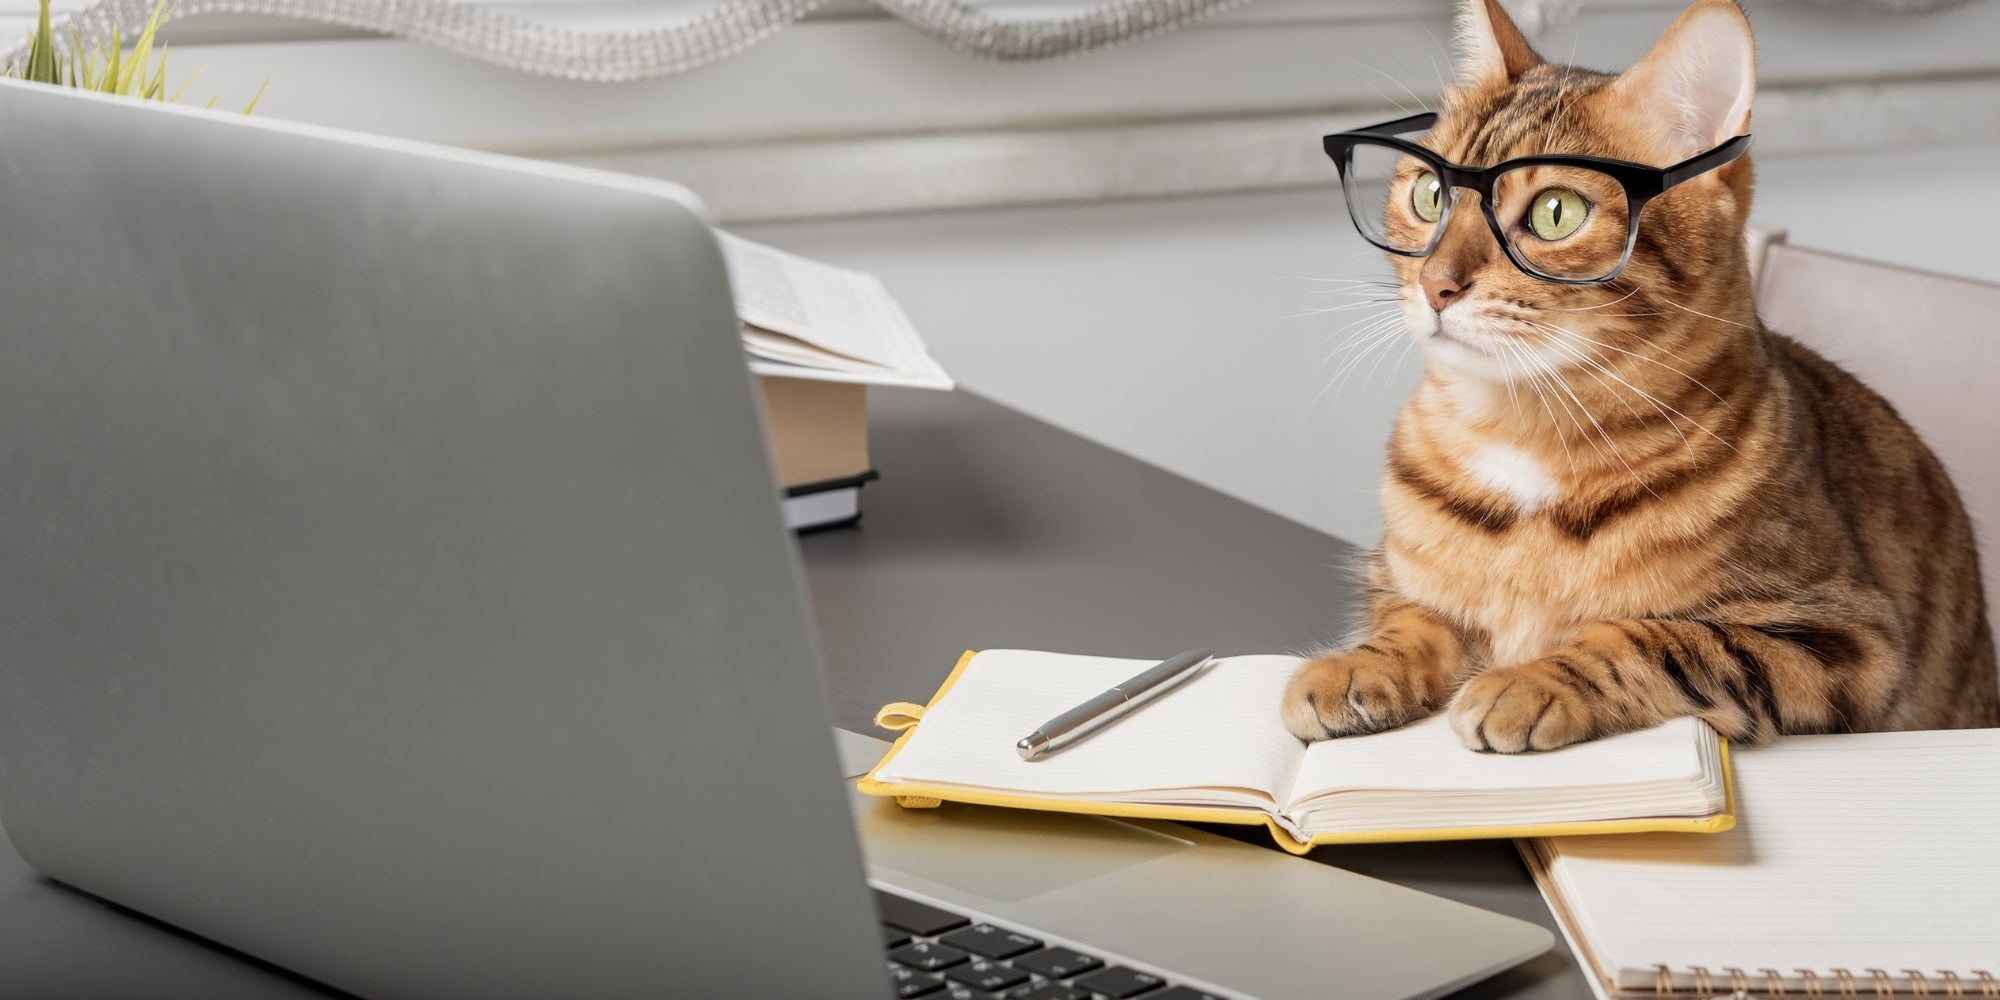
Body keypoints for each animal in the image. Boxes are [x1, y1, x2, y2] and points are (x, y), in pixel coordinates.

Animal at [1280, 0, 2000, 752]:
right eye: (1428, 195)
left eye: (1556, 212)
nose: (1435, 284)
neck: (1524, 438)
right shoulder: (1393, 580)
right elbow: (1412, 617)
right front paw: (1362, 663)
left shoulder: (1846, 639)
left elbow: (1656, 637)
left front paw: (1534, 679)